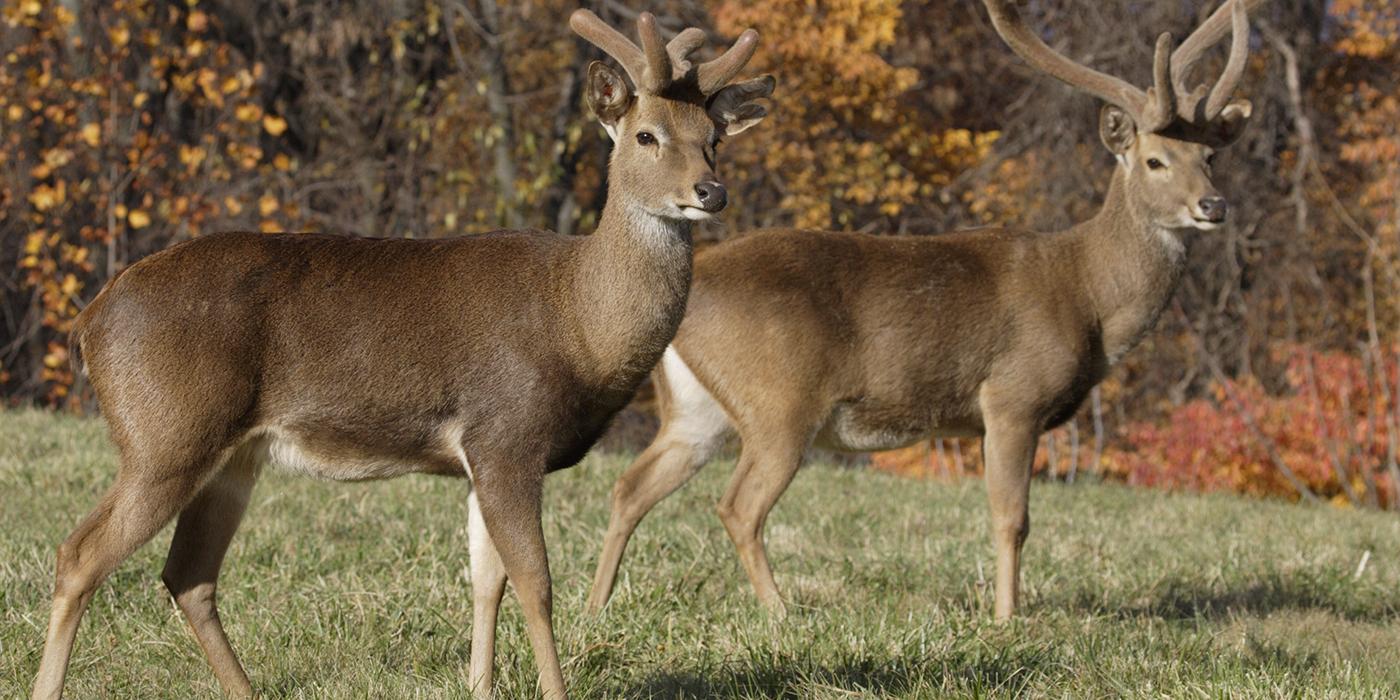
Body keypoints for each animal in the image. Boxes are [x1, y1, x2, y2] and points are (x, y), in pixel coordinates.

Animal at [30, 10, 778, 700]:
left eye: (713, 140)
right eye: (646, 135)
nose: (710, 191)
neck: (577, 321)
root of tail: (90, 321)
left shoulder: (480, 456)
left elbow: (485, 580)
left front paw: (479, 685)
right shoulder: (507, 431)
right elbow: (535, 581)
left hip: (230, 453)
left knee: (188, 575)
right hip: (165, 435)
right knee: (79, 555)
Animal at [585, 0, 1265, 624]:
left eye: (1210, 158)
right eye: (1155, 161)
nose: (1214, 205)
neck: (1087, 295)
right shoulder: (1013, 395)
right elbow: (1011, 517)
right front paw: (1006, 621)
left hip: (698, 412)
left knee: (630, 487)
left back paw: (594, 607)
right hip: (781, 401)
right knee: (738, 506)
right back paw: (782, 615)